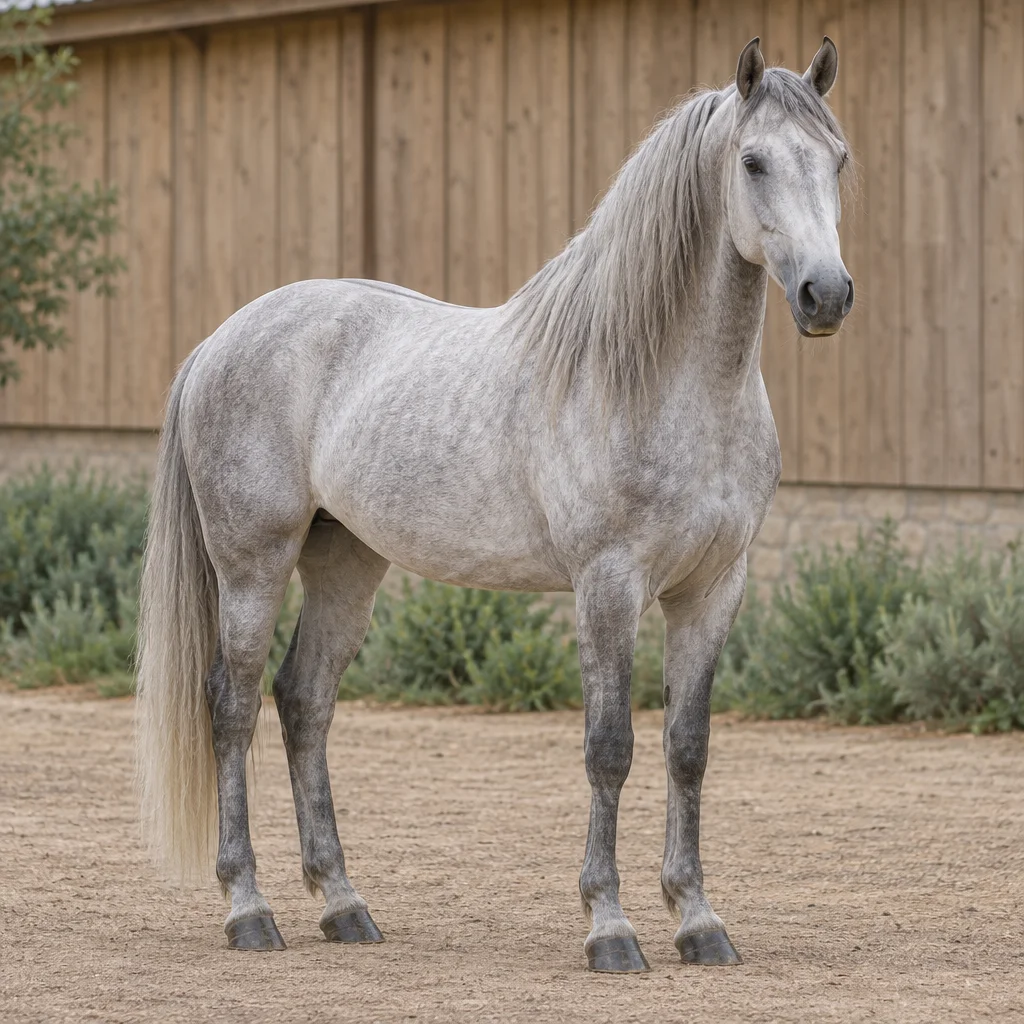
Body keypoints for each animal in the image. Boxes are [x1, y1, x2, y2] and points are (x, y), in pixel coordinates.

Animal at [136, 36, 853, 973]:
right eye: (753, 161)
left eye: (838, 160)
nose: (826, 295)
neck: (663, 381)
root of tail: (220, 339)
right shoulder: (608, 586)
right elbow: (610, 748)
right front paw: (610, 927)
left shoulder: (713, 590)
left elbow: (686, 749)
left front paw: (698, 921)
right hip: (252, 564)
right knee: (232, 705)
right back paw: (249, 910)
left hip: (346, 564)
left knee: (304, 702)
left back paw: (343, 904)